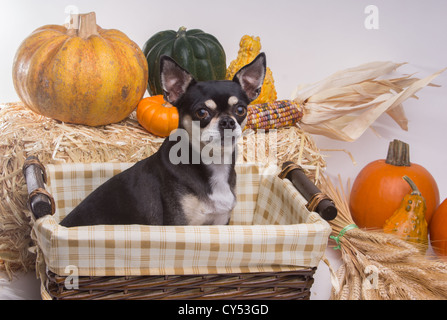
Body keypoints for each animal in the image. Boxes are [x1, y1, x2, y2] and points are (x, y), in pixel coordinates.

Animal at [59, 53, 266, 228]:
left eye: (241, 110)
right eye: (201, 112)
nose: (227, 121)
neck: (214, 163)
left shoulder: (220, 222)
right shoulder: (180, 225)